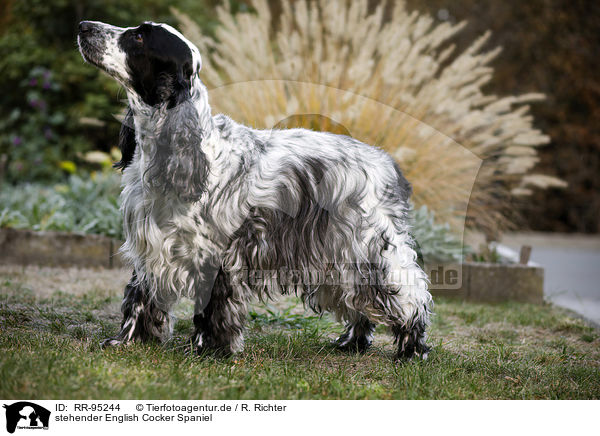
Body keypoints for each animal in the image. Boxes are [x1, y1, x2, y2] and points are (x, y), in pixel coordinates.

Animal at [77, 20, 432, 360]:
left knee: (410, 297)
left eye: (139, 37)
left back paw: (411, 350)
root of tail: (388, 164)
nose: (83, 26)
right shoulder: (150, 244)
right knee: (359, 303)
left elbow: (213, 306)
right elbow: (140, 296)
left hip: (369, 250)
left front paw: (211, 350)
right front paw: (129, 340)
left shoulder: (217, 253)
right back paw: (352, 342)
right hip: (337, 257)